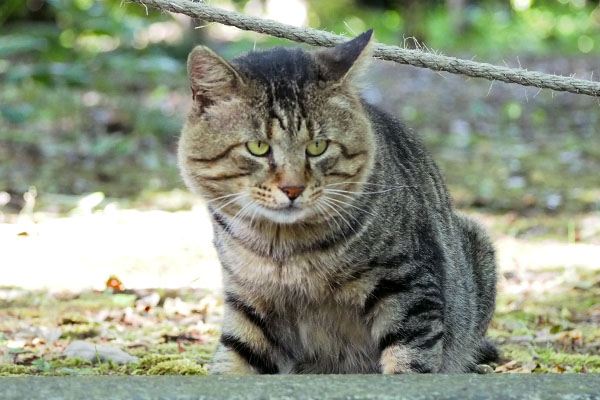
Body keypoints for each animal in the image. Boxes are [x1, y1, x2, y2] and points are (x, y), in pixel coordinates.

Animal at [177, 28, 496, 376]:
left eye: (318, 146)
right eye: (258, 147)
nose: (292, 189)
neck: (284, 249)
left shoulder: (409, 288)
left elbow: (408, 363)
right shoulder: (248, 303)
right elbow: (234, 360)